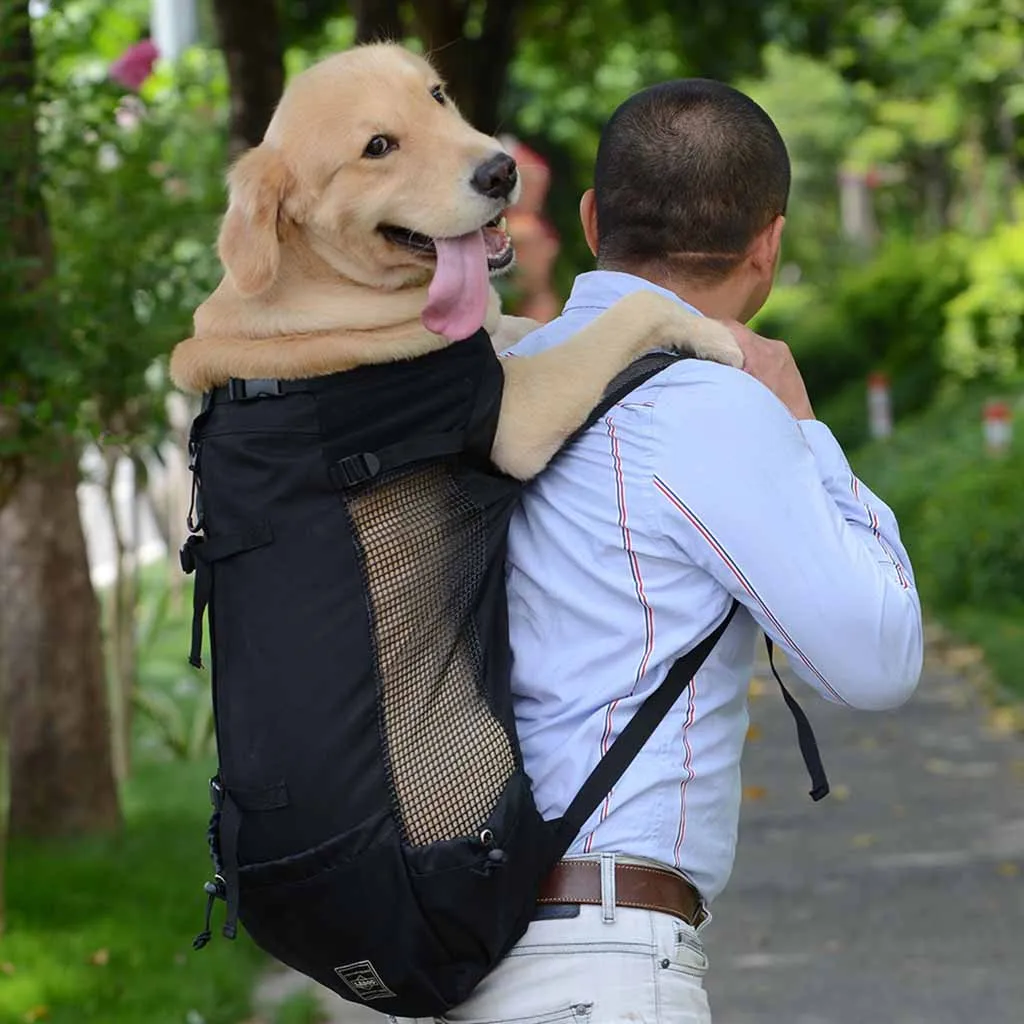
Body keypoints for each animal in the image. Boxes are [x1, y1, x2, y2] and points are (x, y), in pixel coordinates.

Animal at [172, 39, 741, 479]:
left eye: (437, 94)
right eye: (377, 146)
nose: (503, 171)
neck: (333, 280)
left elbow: (527, 322)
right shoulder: (517, 413)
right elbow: (636, 307)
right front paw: (714, 333)